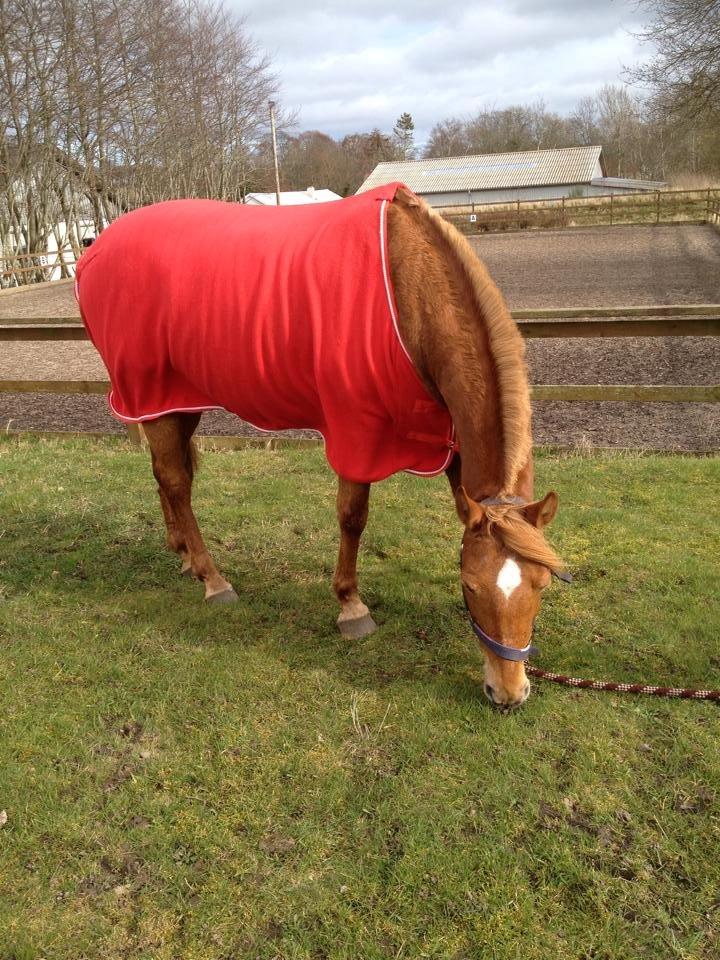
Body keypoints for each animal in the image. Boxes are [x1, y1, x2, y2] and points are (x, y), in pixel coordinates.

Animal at [76, 182, 566, 709]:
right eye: (470, 586)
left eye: (541, 584)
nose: (509, 693)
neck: (409, 287)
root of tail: (94, 251)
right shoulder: (357, 430)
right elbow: (352, 517)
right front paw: (351, 606)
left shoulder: (451, 443)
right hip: (153, 396)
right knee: (176, 482)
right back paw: (213, 579)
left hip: (176, 401)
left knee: (166, 475)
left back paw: (184, 555)